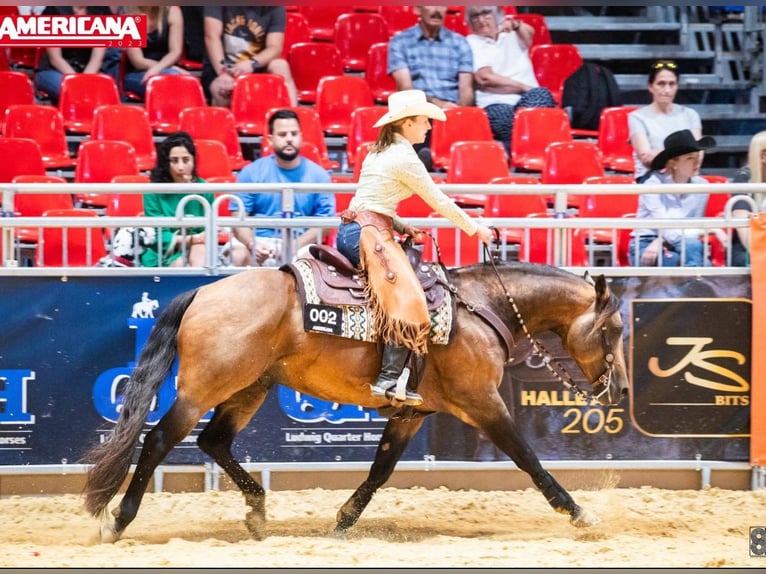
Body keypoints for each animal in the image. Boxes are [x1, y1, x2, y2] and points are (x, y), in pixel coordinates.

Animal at [82, 259, 629, 542]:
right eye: (615, 329)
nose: (620, 389)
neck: (481, 308)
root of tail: (203, 292)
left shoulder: (414, 412)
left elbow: (380, 470)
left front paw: (343, 521)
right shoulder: (483, 403)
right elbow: (528, 460)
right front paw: (577, 512)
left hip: (250, 386)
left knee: (215, 441)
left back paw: (257, 512)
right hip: (203, 389)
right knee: (158, 441)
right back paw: (119, 520)